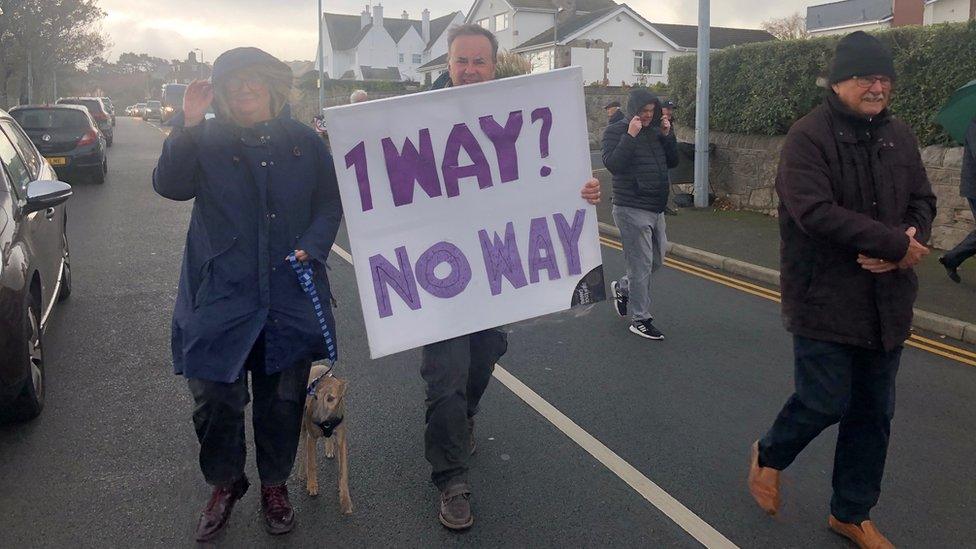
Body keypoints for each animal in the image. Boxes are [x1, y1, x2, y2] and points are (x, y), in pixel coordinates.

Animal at [304, 364, 354, 512]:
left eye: (331, 398)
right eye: (315, 397)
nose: (315, 420)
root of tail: (318, 365)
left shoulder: (342, 440)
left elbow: (343, 472)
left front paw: (345, 500)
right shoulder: (311, 437)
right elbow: (311, 463)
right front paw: (312, 485)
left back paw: (329, 448)